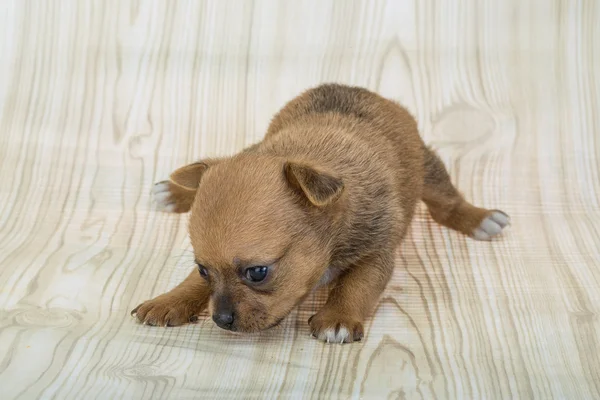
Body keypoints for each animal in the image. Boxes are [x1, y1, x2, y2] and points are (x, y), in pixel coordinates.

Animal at [132, 83, 510, 344]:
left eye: (258, 273)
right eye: (203, 269)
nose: (221, 320)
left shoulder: (375, 251)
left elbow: (357, 284)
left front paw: (338, 317)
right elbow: (190, 283)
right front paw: (170, 299)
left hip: (426, 167)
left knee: (445, 202)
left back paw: (480, 218)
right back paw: (176, 190)